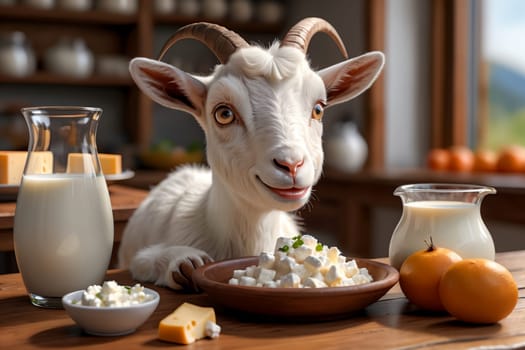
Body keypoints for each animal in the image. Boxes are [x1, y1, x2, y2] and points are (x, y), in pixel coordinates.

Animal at [117, 17, 380, 290]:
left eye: (318, 109)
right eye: (224, 113)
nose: (291, 164)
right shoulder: (138, 260)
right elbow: (144, 261)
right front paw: (185, 262)